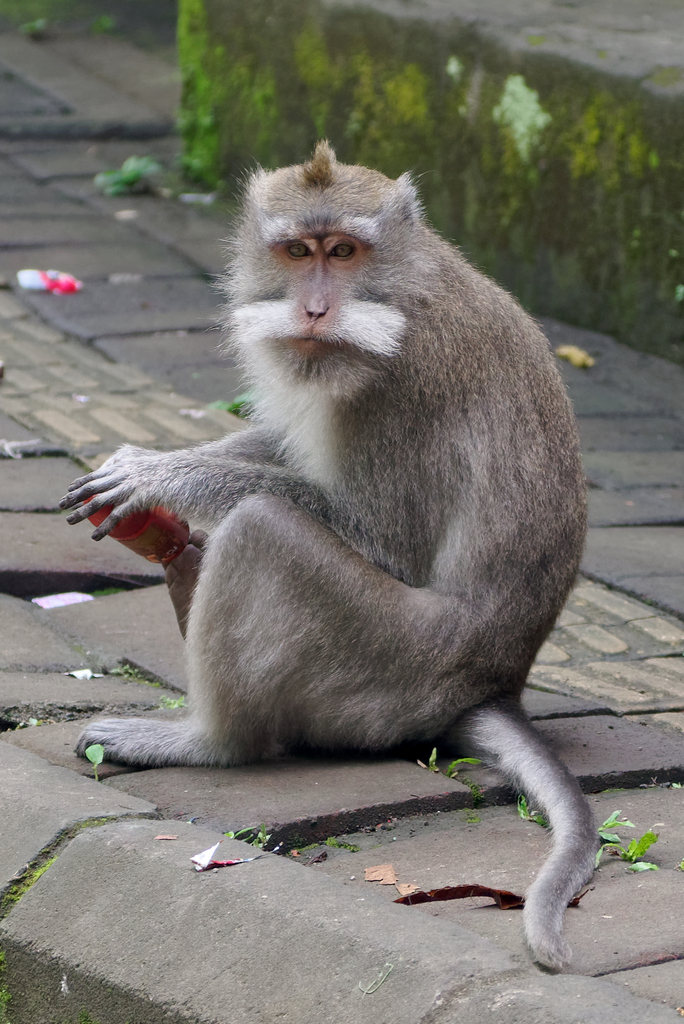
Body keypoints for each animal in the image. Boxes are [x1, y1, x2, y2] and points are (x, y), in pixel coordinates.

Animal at [60, 141, 597, 969]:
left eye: (343, 252)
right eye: (297, 253)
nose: (314, 311)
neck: (403, 289)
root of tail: (493, 682)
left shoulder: (402, 385)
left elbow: (385, 538)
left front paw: (162, 476)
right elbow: (286, 444)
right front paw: (152, 462)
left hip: (388, 668)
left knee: (260, 530)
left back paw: (211, 742)